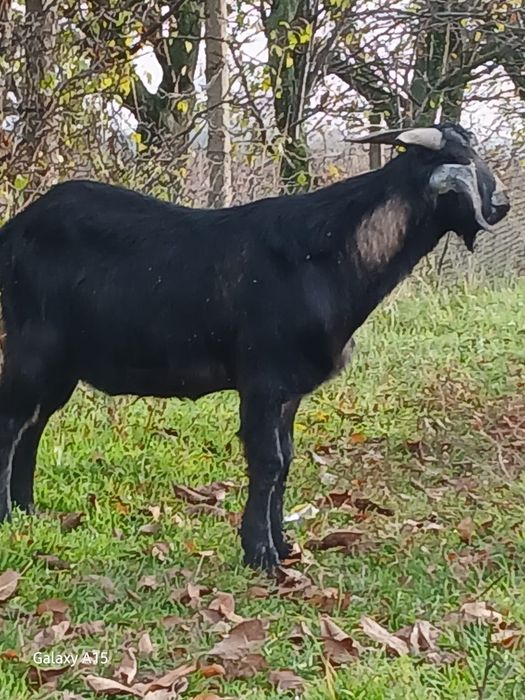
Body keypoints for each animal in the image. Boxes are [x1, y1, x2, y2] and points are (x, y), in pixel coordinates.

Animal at [0, 123, 510, 571]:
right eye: (459, 159)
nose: (501, 204)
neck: (327, 256)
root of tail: (13, 230)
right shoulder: (262, 382)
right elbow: (267, 462)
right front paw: (260, 555)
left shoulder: (290, 392)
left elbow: (285, 461)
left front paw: (282, 544)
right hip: (32, 350)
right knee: (12, 423)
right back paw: (8, 515)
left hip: (62, 365)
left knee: (34, 424)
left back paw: (28, 510)